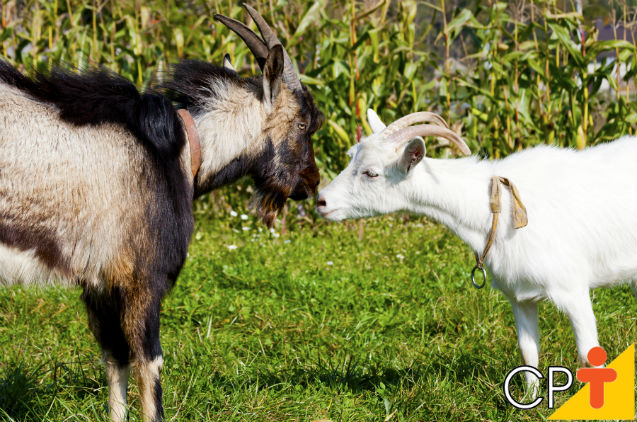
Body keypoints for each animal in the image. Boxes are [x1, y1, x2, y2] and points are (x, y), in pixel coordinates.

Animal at [0, 4, 320, 420]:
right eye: (303, 122)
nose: (312, 183)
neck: (180, 149)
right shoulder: (144, 275)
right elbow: (148, 366)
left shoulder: (100, 281)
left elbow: (114, 360)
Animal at [318, 108, 636, 390]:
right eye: (351, 156)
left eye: (371, 173)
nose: (321, 201)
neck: (498, 209)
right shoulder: (519, 295)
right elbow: (528, 352)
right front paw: (529, 402)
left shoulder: (572, 288)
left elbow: (589, 357)